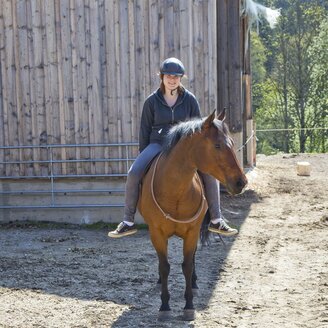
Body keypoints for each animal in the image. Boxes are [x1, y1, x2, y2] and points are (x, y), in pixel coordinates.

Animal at [137, 108, 247, 320]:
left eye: (231, 142)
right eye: (217, 145)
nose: (241, 182)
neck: (174, 192)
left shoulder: (192, 232)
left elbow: (187, 265)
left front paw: (189, 305)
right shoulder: (157, 233)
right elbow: (164, 266)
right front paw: (164, 306)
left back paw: (194, 284)